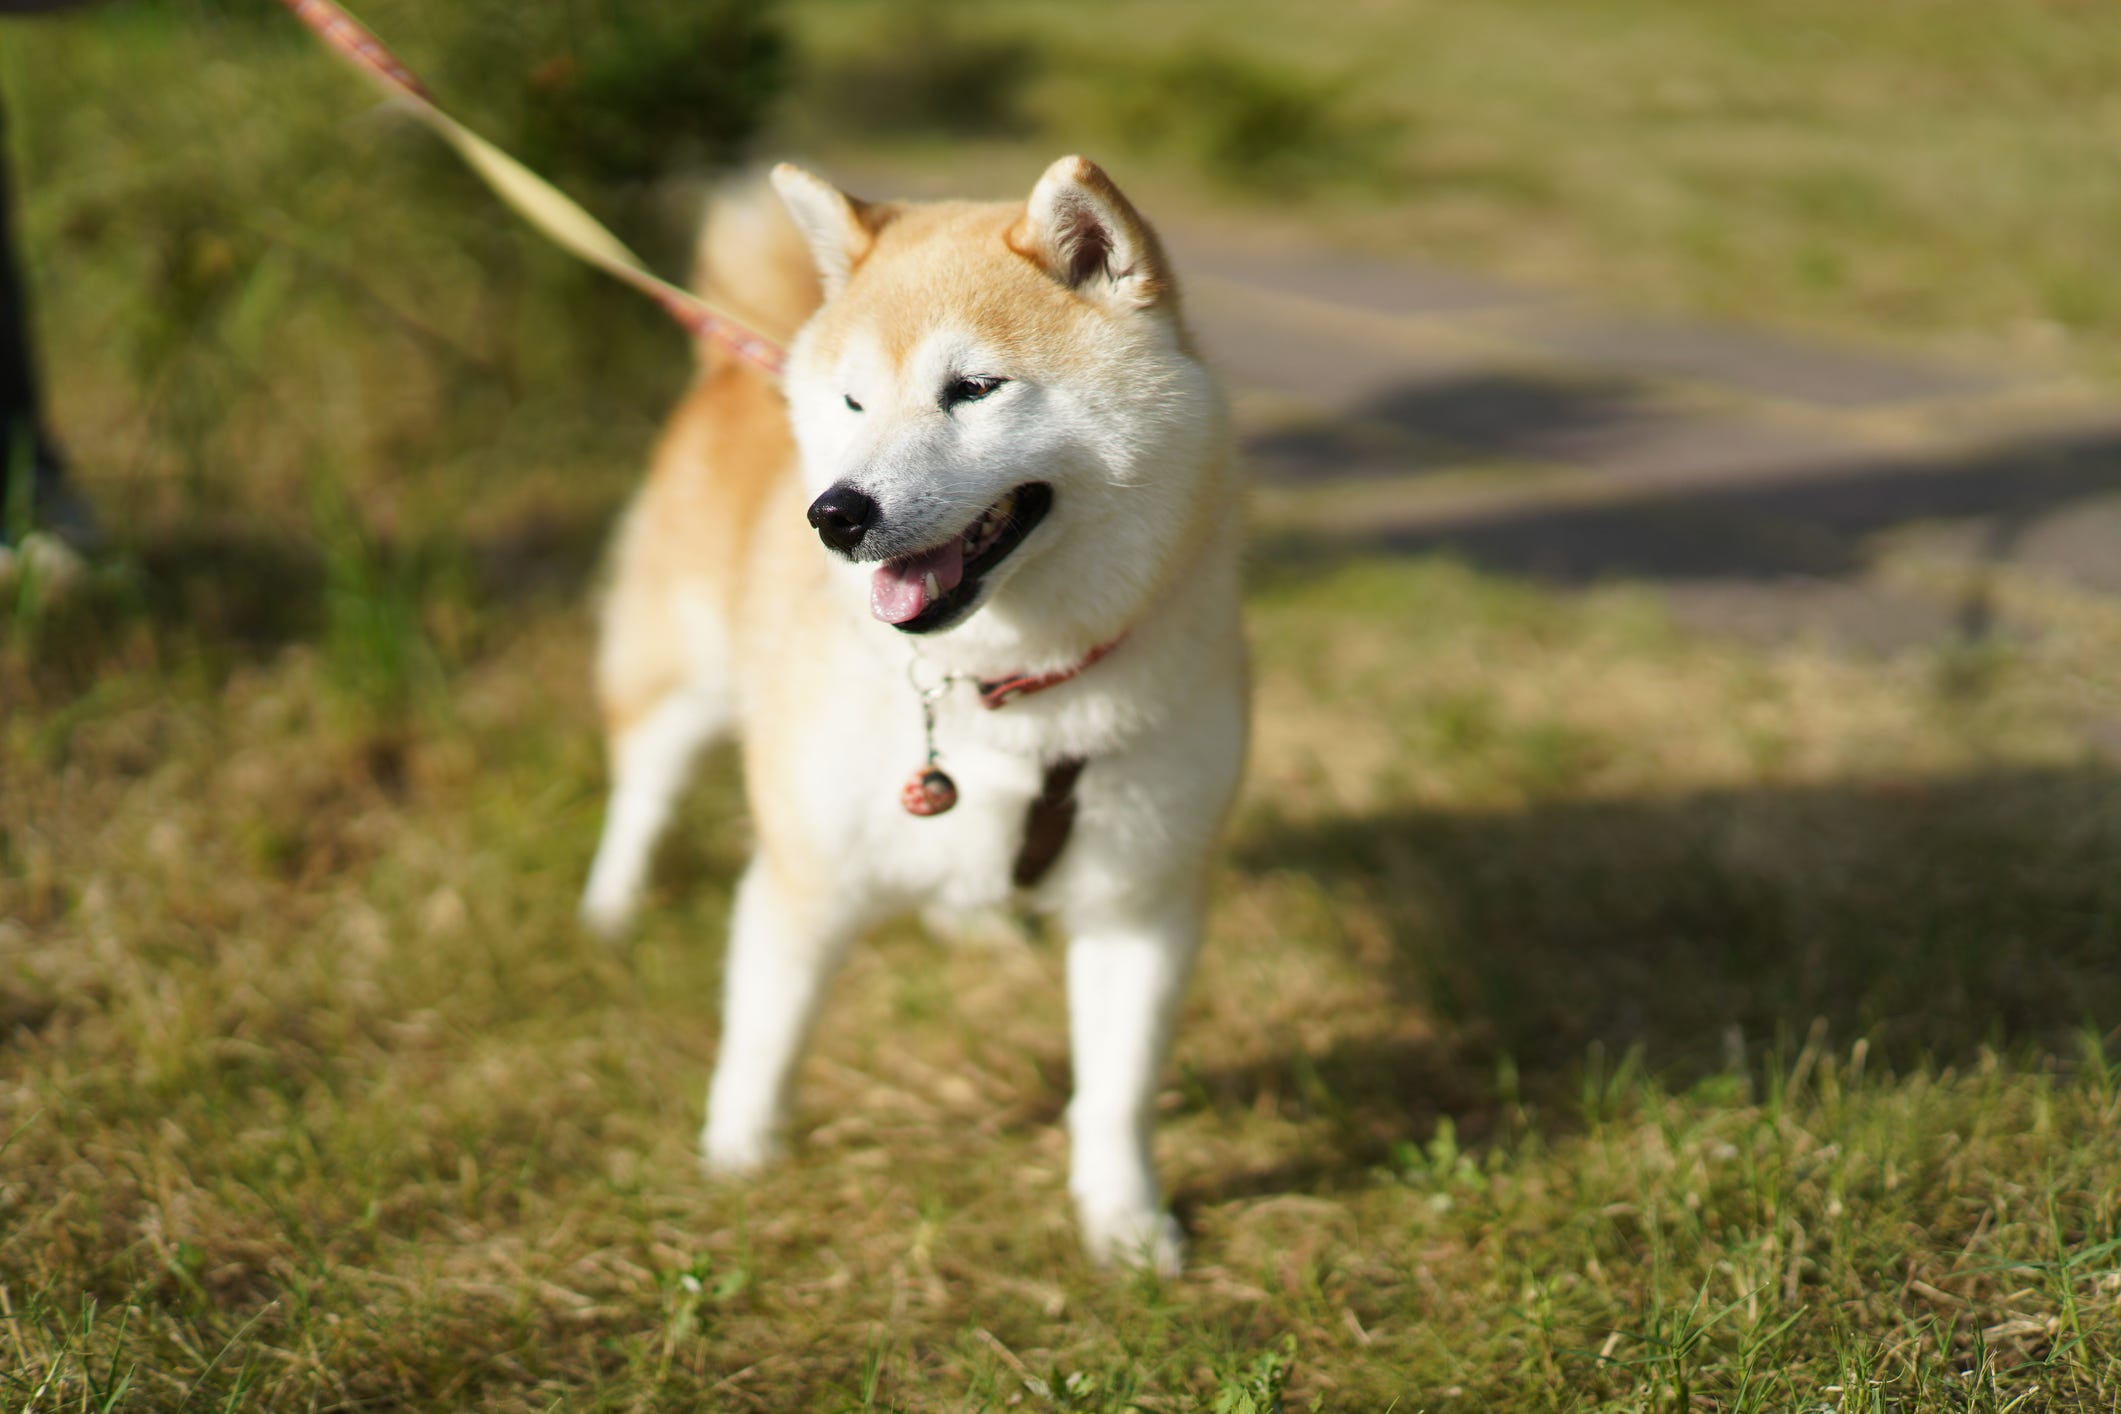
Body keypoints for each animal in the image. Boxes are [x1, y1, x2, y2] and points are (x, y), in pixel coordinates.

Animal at [572, 157, 1247, 1271]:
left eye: (972, 388)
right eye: (853, 401)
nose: (835, 515)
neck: (1010, 691)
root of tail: (737, 353)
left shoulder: (1140, 899)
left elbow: (1116, 1089)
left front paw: (1122, 1222)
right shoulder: (803, 869)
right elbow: (765, 1033)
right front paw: (737, 1161)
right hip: (682, 682)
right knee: (642, 790)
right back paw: (612, 905)